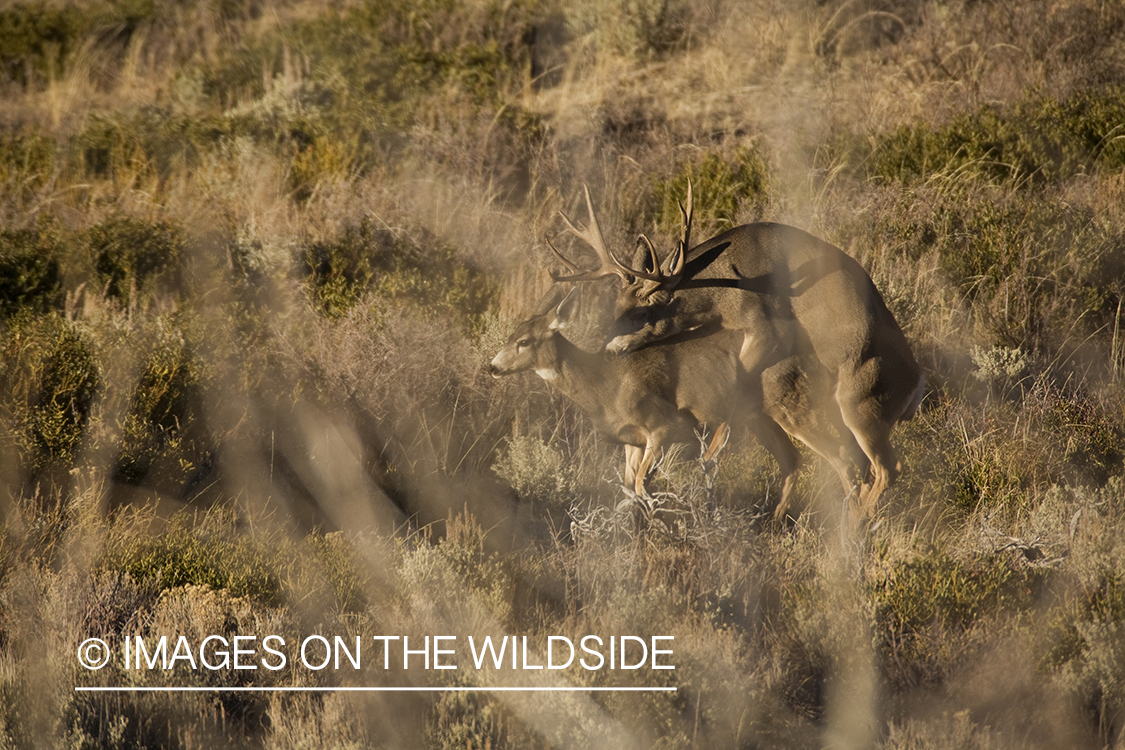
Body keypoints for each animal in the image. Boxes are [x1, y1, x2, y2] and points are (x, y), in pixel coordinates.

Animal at [489, 285, 853, 522]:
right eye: (510, 335)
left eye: (524, 341)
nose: (492, 367)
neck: (604, 386)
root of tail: (815, 352)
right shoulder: (632, 441)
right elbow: (628, 489)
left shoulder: (665, 425)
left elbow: (640, 487)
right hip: (760, 418)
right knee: (793, 460)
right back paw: (776, 522)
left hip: (794, 403)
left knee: (841, 456)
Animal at [547, 184, 925, 518]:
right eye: (615, 308)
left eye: (641, 313)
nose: (608, 350)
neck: (720, 289)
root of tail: (916, 385)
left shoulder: (766, 325)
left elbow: (739, 382)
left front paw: (710, 453)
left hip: (860, 404)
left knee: (886, 466)